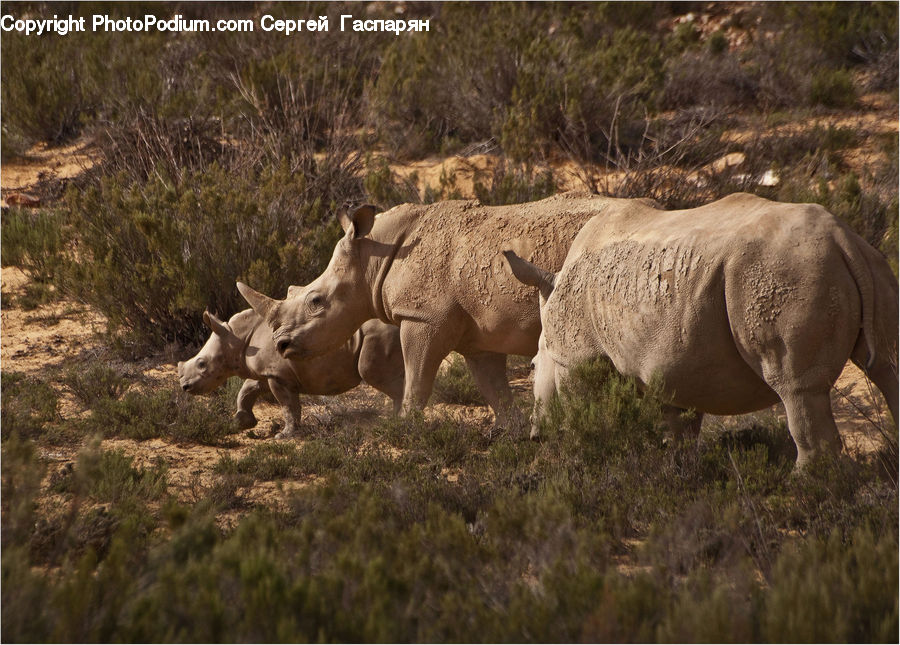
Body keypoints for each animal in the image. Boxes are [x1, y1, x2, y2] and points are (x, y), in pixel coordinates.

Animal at [177, 308, 404, 439]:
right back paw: (395, 422)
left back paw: (398, 424)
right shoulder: (268, 372)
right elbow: (247, 390)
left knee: (375, 375)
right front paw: (241, 422)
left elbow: (287, 405)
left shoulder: (279, 375)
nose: (184, 387)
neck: (236, 337)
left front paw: (285, 436)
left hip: (378, 336)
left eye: (202, 364)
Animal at [236, 193, 620, 428]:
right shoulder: (480, 334)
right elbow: (493, 388)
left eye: (315, 302)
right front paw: (510, 433)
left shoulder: (423, 317)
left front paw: (404, 428)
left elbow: (417, 378)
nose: (281, 345)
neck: (372, 258)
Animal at [504, 192, 898, 467]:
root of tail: (841, 237)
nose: (535, 437)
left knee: (795, 386)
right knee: (886, 367)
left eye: (533, 367)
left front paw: (578, 457)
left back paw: (801, 485)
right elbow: (678, 427)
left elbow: (579, 413)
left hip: (785, 272)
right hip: (868, 264)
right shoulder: (675, 364)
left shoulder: (578, 358)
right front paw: (676, 470)